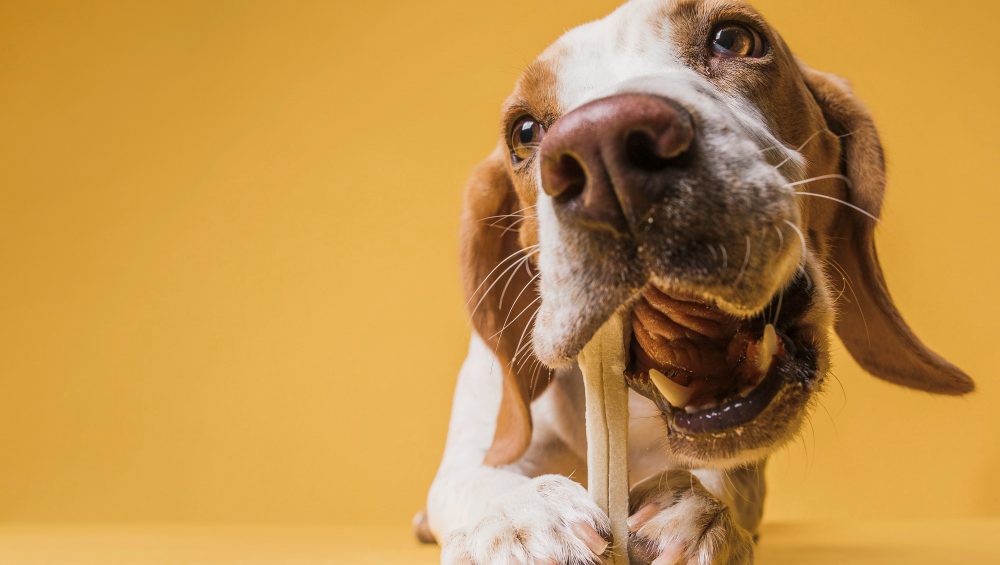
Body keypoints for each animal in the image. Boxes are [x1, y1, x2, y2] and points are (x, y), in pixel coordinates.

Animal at [418, 2, 972, 560]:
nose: (604, 146)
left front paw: (698, 516)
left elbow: (724, 482)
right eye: (525, 132)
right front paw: (522, 521)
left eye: (733, 38)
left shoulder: (746, 473)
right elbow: (479, 479)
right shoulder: (475, 451)